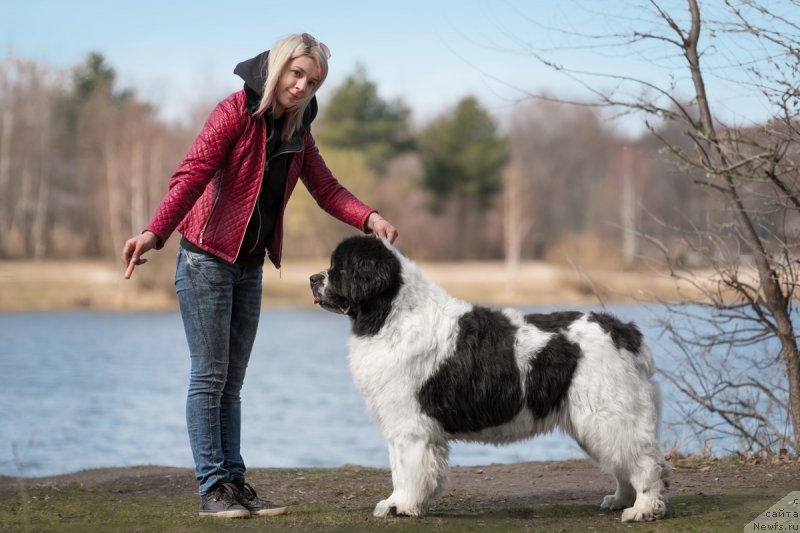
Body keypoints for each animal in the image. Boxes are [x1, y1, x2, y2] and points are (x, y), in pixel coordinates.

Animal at [310, 236, 668, 520]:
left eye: (339, 268)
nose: (313, 278)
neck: (390, 314)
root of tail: (622, 330)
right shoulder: (405, 425)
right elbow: (403, 468)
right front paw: (404, 503)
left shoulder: (410, 423)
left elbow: (408, 469)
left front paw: (403, 505)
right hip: (597, 419)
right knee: (626, 463)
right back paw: (621, 500)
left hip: (606, 413)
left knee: (646, 462)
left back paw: (643, 508)